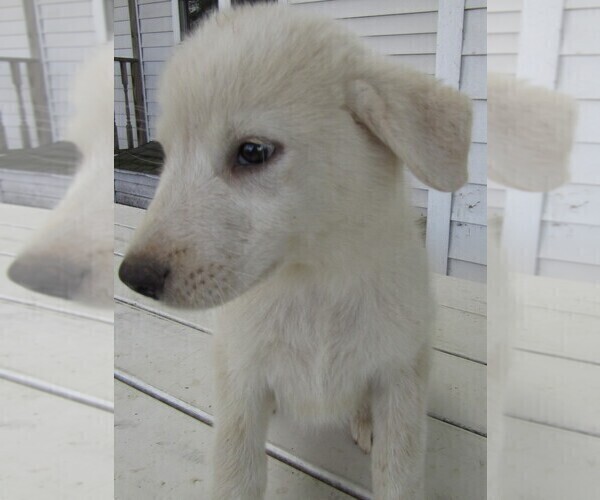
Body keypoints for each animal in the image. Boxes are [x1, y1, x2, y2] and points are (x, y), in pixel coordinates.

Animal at [119, 5, 472, 498]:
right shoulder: (240, 384)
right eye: (167, 154)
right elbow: (235, 475)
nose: (134, 277)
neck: (315, 285)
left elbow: (399, 475)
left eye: (252, 151)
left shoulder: (401, 377)